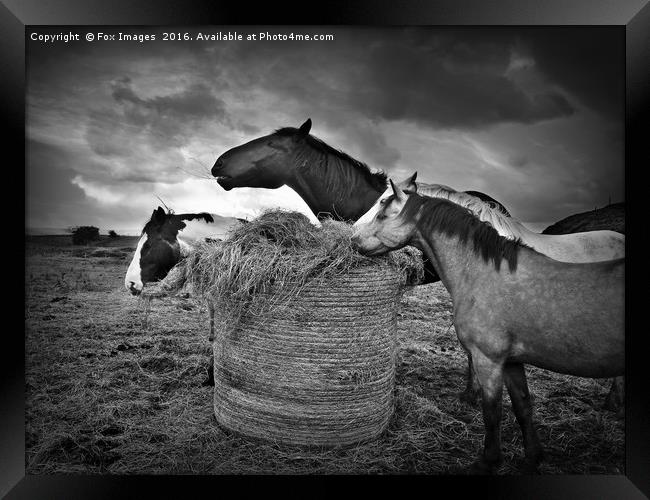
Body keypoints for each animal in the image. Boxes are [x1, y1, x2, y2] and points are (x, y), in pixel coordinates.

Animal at [350, 182, 624, 470]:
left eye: (382, 209)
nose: (352, 237)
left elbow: (492, 412)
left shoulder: (489, 358)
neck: (485, 271)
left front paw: (488, 459)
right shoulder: (512, 361)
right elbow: (522, 406)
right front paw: (532, 457)